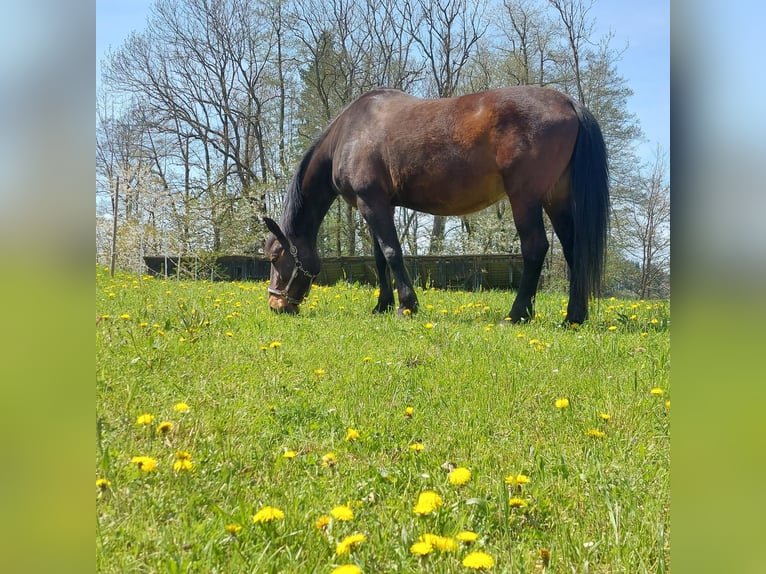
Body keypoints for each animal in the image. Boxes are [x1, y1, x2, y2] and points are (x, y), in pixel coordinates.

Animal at [264, 88, 612, 326]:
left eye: (275, 257)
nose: (276, 305)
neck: (348, 135)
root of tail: (568, 102)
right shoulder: (377, 205)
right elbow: (379, 258)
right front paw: (382, 305)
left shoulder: (371, 203)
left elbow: (391, 252)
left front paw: (406, 305)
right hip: (556, 199)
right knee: (573, 250)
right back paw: (573, 317)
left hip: (525, 199)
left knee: (536, 249)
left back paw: (516, 315)